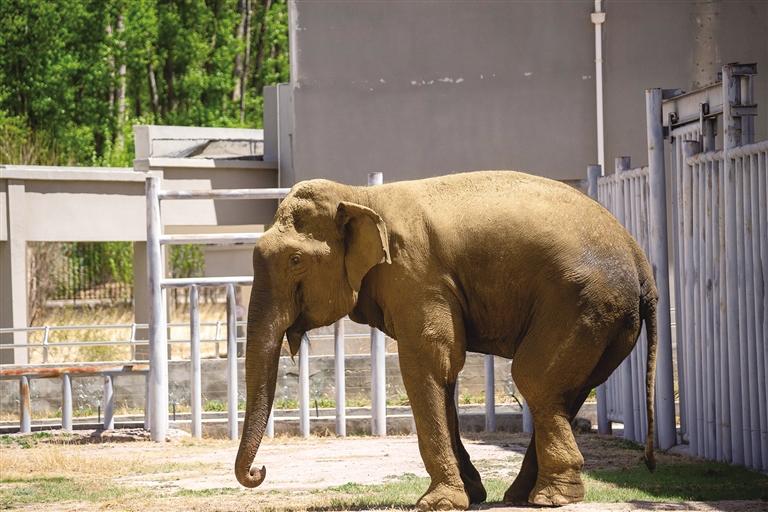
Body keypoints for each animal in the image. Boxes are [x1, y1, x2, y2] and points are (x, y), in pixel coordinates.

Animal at [234, 170, 657, 509]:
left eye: (295, 261)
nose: (260, 470)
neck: (360, 195)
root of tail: (642, 265)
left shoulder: (415, 274)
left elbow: (427, 362)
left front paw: (437, 503)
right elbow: (444, 373)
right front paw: (471, 495)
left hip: (581, 303)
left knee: (534, 379)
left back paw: (551, 498)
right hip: (605, 320)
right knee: (566, 390)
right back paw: (521, 495)